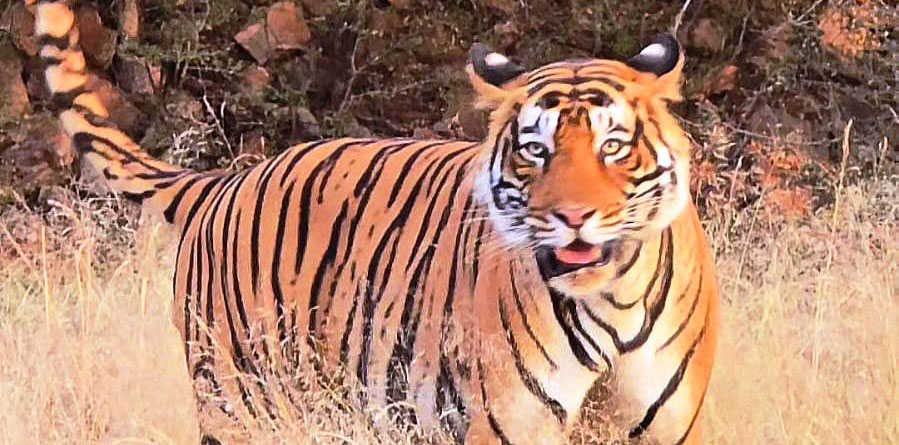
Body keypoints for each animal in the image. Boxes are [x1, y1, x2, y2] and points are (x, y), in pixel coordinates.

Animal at [28, 1, 720, 444]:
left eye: (612, 146)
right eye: (535, 150)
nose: (573, 217)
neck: (611, 302)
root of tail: (226, 181)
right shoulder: (510, 426)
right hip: (239, 402)